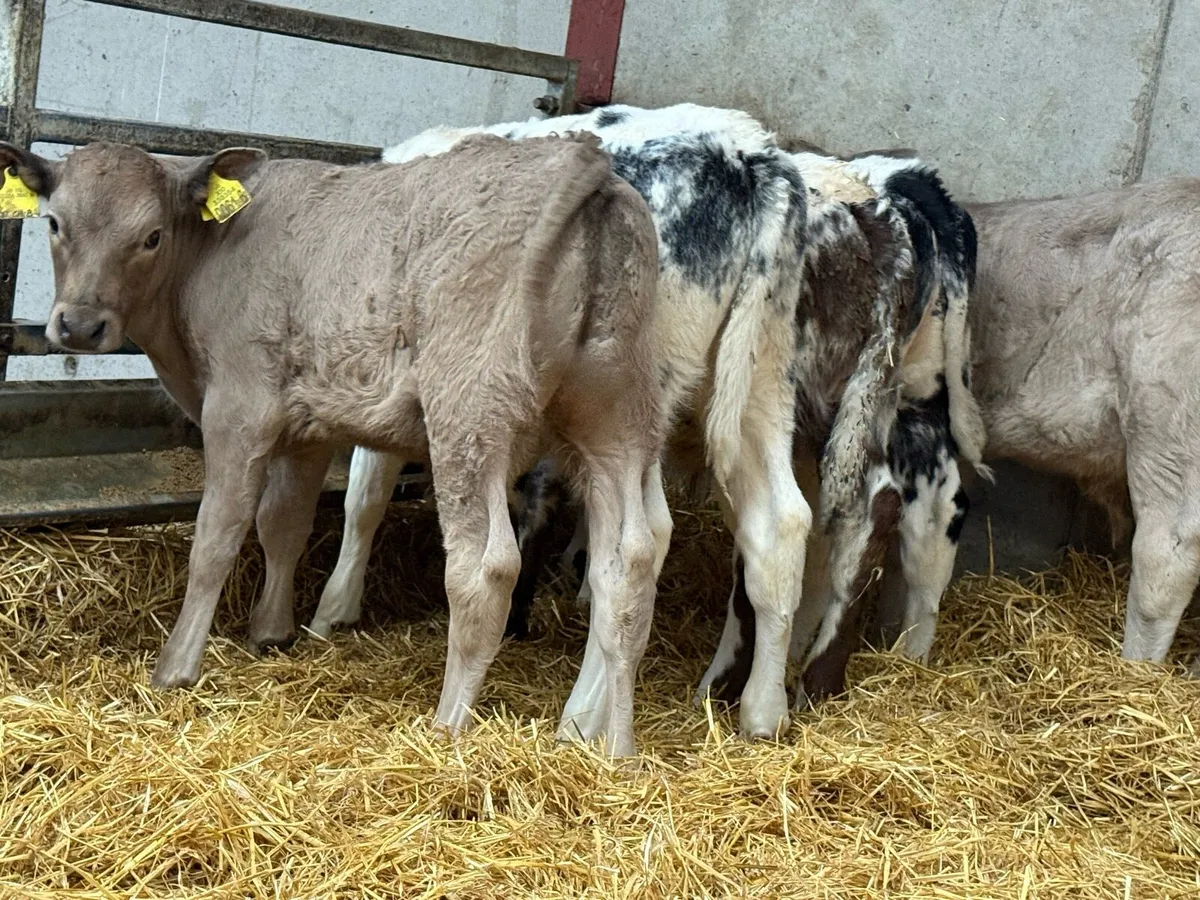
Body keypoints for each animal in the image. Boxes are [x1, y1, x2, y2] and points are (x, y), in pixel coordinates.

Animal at [0, 132, 668, 757]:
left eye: (152, 236)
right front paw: (272, 633)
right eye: (55, 223)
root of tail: (579, 161)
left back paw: (447, 731)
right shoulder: (305, 426)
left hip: (470, 414)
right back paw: (616, 750)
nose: (80, 325)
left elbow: (218, 535)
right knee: (630, 563)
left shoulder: (239, 406)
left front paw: (176, 667)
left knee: (487, 568)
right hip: (616, 417)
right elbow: (284, 524)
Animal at [309, 105, 987, 727]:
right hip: (783, 390)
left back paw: (588, 718)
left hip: (649, 392)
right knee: (811, 523)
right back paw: (776, 702)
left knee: (648, 537)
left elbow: (364, 498)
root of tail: (751, 153)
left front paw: (329, 613)